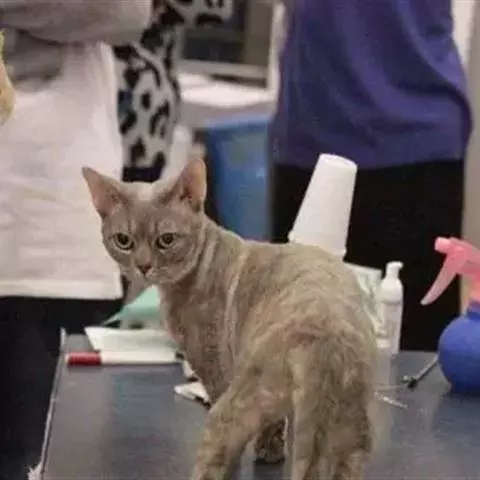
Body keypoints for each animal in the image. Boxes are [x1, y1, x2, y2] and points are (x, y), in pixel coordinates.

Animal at [82, 156, 377, 480]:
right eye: (123, 241)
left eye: (166, 240)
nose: (143, 267)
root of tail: (327, 337)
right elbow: (273, 427)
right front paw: (271, 450)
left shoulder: (215, 370)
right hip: (350, 436)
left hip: (239, 401)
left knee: (217, 449)